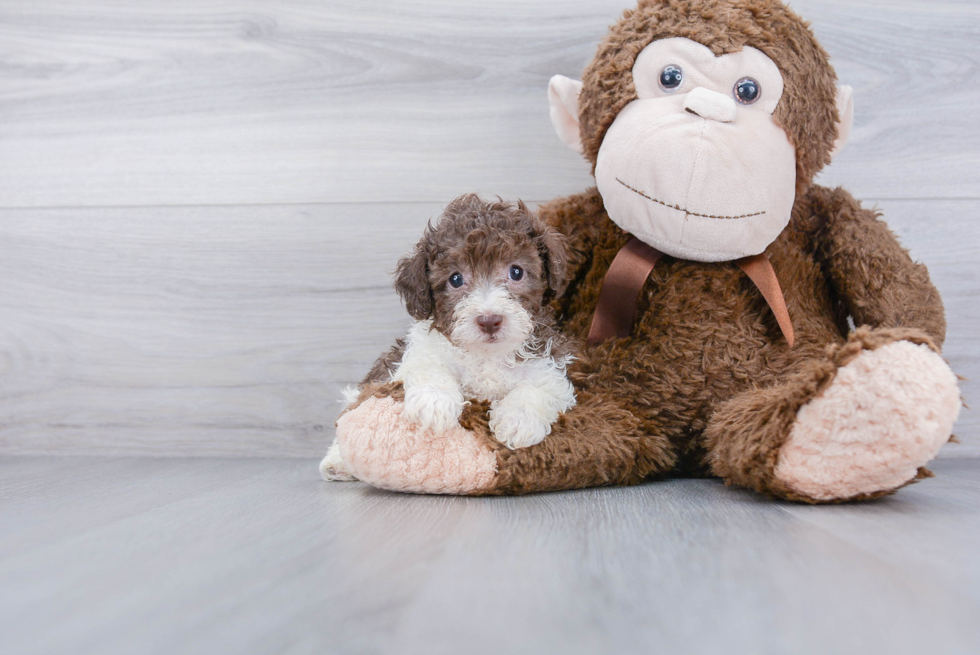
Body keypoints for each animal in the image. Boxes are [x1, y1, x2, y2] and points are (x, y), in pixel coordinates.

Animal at [322, 195, 580, 482]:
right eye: (456, 279)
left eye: (516, 272)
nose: (489, 320)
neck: (486, 354)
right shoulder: (419, 351)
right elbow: (430, 366)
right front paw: (434, 404)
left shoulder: (548, 361)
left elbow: (540, 387)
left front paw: (517, 421)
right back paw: (336, 461)